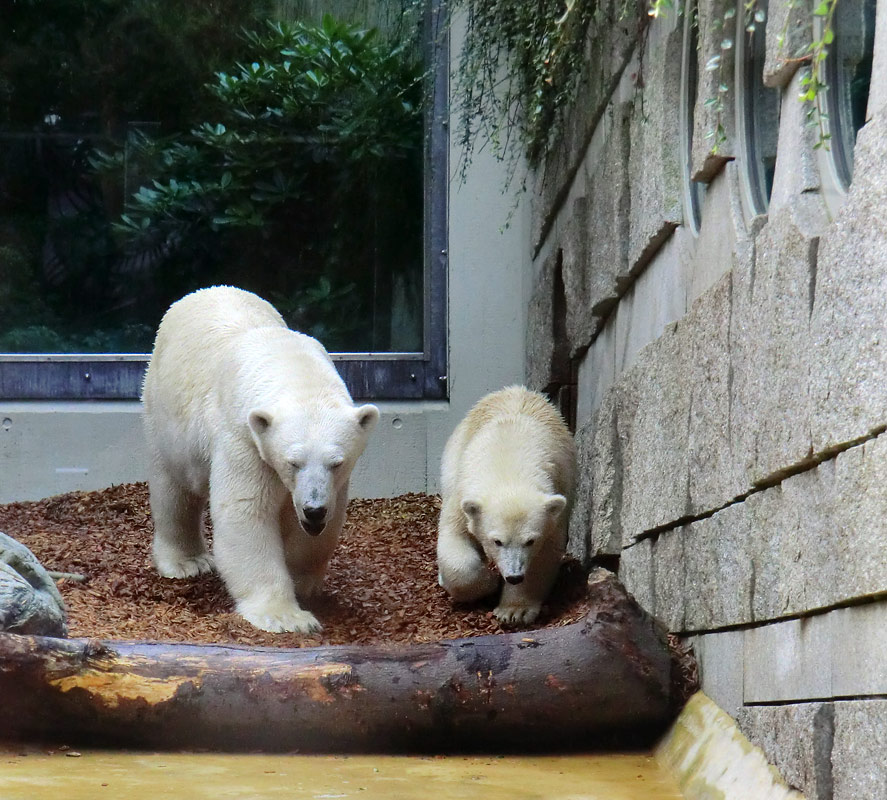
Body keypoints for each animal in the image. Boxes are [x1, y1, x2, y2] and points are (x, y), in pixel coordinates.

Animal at [141, 286, 378, 632]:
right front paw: (288, 617)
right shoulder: (244, 439)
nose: (314, 510)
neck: (288, 362)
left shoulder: (333, 485)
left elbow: (319, 527)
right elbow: (246, 514)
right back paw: (187, 561)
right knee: (174, 489)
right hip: (164, 412)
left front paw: (303, 583)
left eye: (337, 463)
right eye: (293, 462)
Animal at [436, 386, 576, 624]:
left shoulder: (558, 491)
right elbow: (454, 537)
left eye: (530, 541)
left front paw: (514, 610)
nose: (514, 576)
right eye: (497, 541)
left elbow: (546, 551)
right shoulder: (461, 492)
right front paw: (489, 584)